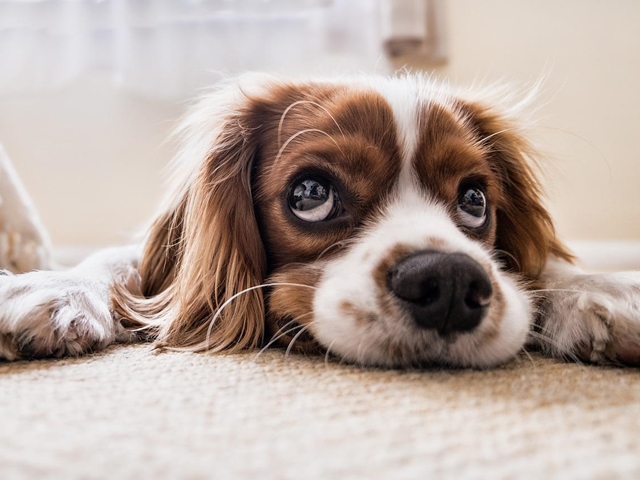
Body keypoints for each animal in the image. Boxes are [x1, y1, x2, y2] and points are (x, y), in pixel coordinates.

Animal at [1, 74, 640, 368]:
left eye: (476, 200)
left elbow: (547, 266)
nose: (451, 282)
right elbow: (118, 261)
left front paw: (603, 288)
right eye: (310, 193)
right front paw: (52, 287)